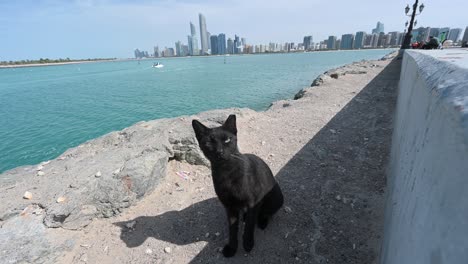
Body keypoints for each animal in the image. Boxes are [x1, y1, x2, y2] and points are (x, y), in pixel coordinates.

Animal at [192, 114, 284, 256]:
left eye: (227, 140)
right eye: (209, 143)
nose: (219, 151)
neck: (226, 173)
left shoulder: (252, 203)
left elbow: (249, 226)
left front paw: (248, 244)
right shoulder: (229, 206)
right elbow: (232, 229)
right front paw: (232, 248)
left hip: (276, 197)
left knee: (265, 213)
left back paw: (262, 221)